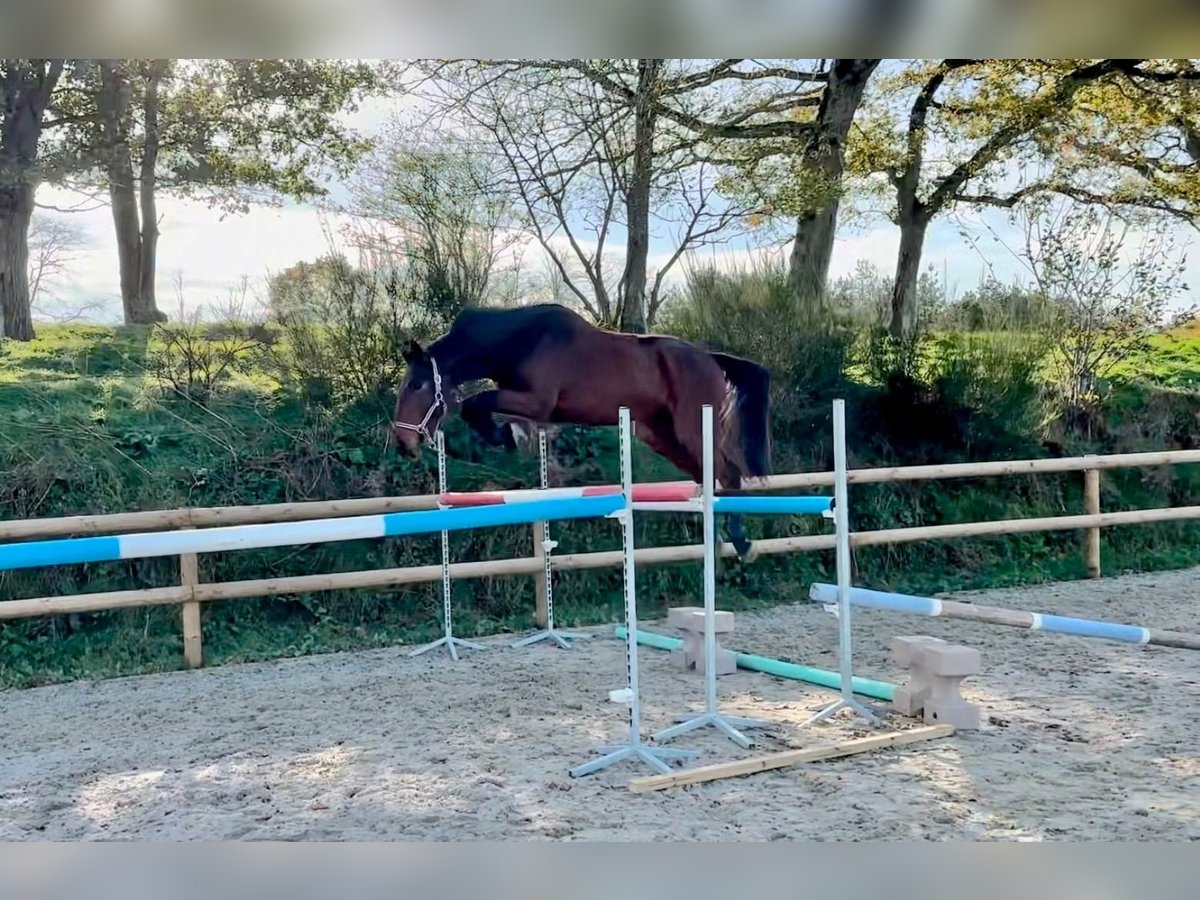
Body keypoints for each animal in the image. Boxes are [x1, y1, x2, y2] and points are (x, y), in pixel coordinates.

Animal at [388, 303, 772, 556]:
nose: (403, 442)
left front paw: (504, 437)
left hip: (691, 428)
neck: (520, 340)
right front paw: (507, 436)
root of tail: (711, 359)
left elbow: (475, 402)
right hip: (661, 435)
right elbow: (477, 406)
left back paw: (742, 543)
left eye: (417, 386)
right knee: (708, 476)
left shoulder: (537, 402)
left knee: (727, 472)